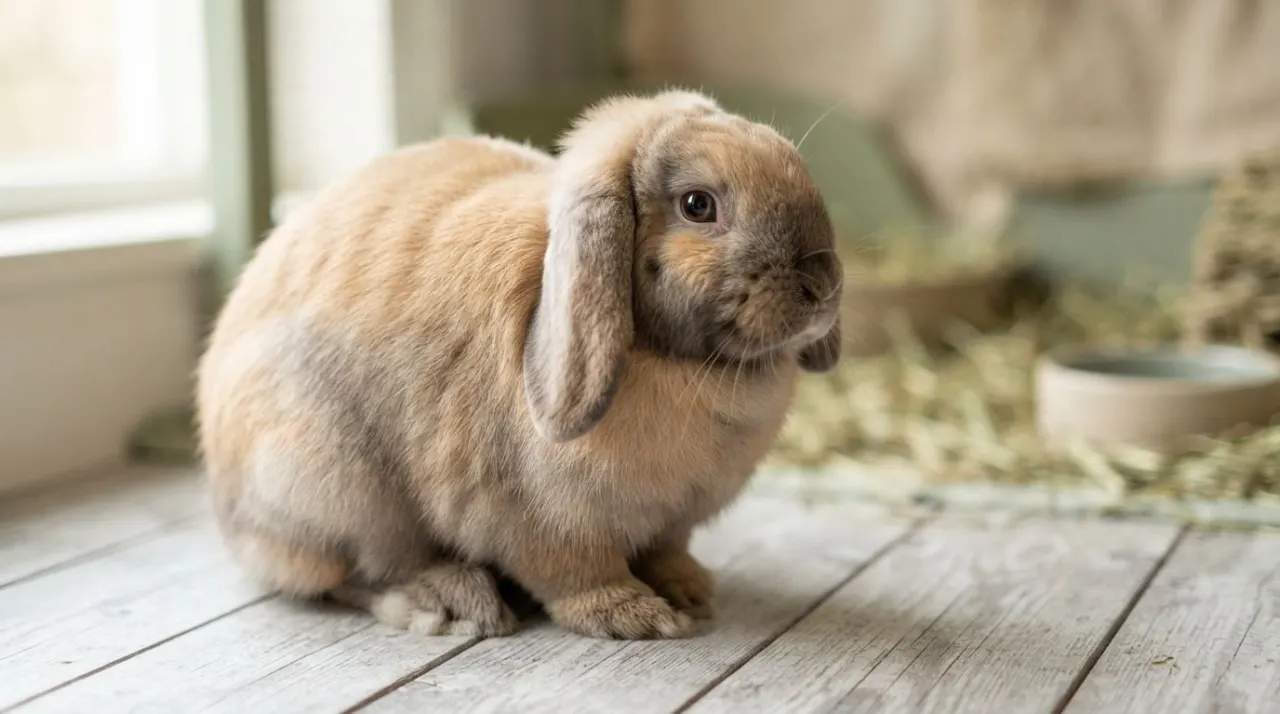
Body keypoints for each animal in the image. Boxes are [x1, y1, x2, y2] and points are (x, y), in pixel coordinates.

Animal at [195, 88, 844, 641]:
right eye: (698, 205)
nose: (822, 283)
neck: (674, 359)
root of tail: (229, 516)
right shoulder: (546, 523)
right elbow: (576, 575)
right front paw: (636, 616)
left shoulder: (672, 523)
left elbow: (667, 551)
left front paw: (690, 591)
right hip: (333, 486)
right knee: (353, 572)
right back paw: (449, 602)